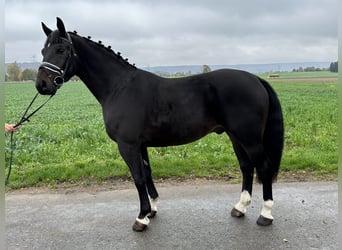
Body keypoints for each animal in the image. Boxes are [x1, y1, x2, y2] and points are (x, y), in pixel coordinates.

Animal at [36, 18, 284, 232]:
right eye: (42, 51)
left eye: (61, 50)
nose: (42, 85)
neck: (120, 87)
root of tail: (256, 79)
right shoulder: (141, 145)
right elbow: (147, 173)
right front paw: (152, 210)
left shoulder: (127, 145)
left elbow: (137, 178)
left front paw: (141, 218)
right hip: (235, 136)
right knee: (246, 166)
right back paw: (240, 207)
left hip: (249, 138)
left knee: (263, 166)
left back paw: (265, 214)